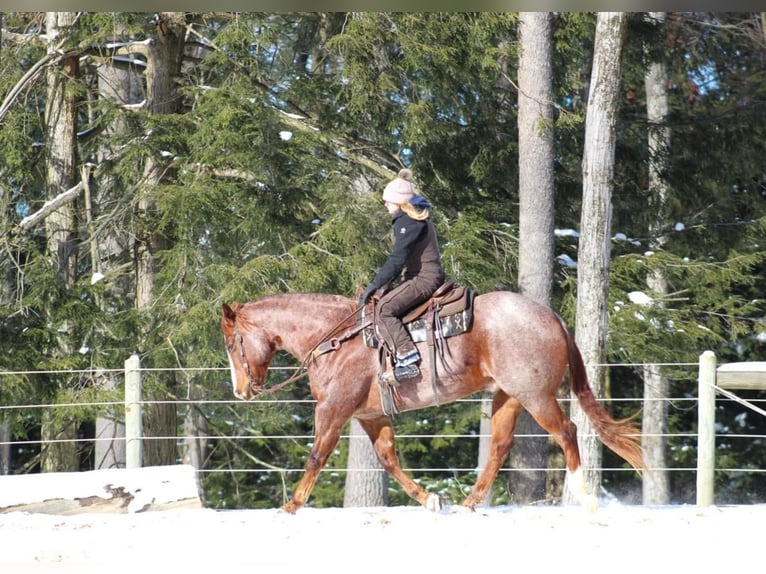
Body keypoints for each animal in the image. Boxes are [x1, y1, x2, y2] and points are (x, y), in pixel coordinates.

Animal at [222, 292, 648, 512]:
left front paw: (291, 505)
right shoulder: (371, 416)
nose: (241, 391)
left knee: (567, 431)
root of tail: (553, 317)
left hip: (536, 395)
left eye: (230, 342)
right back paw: (470, 501)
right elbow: (389, 460)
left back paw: (583, 497)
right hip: (508, 396)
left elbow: (316, 456)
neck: (335, 340)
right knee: (500, 446)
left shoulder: (333, 410)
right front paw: (429, 498)